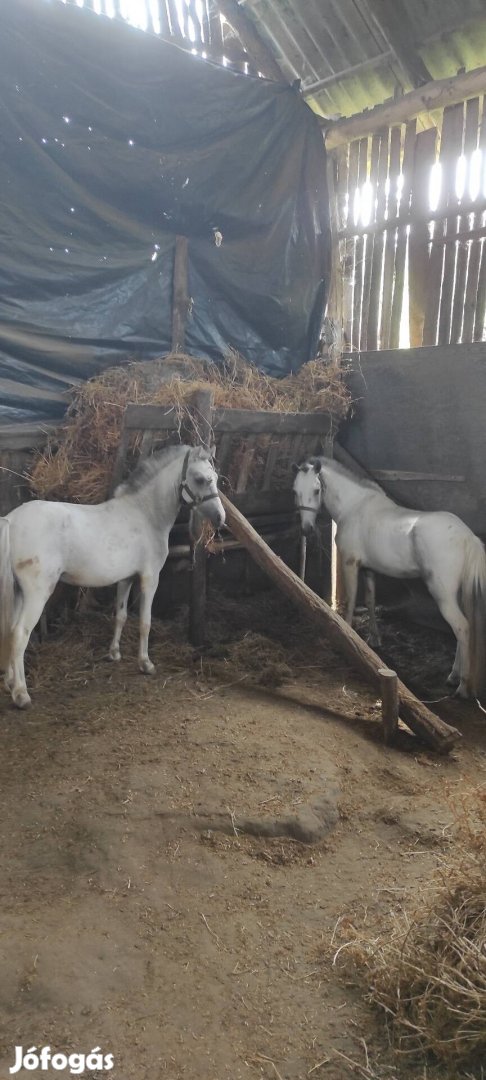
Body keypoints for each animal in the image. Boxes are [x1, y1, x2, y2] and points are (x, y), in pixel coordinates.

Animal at [0, 440, 223, 708]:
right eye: (200, 479)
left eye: (216, 478)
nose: (220, 518)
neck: (145, 514)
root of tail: (11, 521)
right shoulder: (150, 578)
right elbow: (145, 621)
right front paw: (145, 663)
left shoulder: (126, 579)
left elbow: (121, 616)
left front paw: (114, 653)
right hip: (36, 593)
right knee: (20, 634)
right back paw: (21, 694)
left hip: (19, 591)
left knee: (10, 632)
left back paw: (10, 683)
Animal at [291, 457, 486, 699]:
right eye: (295, 491)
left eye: (316, 490)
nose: (306, 530)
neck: (354, 507)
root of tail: (468, 537)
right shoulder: (369, 570)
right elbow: (370, 600)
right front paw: (374, 640)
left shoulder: (350, 564)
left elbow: (351, 602)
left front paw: (348, 636)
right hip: (455, 594)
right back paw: (453, 677)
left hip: (443, 595)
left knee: (462, 628)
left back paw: (462, 686)